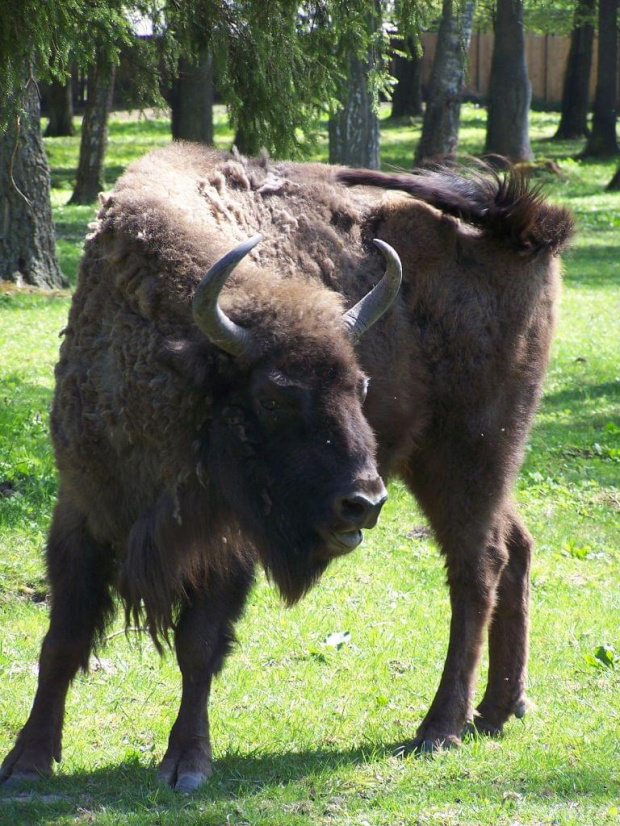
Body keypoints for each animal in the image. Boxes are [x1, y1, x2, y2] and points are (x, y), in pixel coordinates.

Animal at [0, 145, 572, 788]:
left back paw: (440, 728)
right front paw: (27, 763)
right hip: (465, 462)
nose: (364, 503)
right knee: (514, 546)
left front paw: (186, 763)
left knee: (477, 568)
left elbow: (199, 645)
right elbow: (63, 639)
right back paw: (500, 709)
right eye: (273, 397)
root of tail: (519, 227)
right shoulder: (82, 511)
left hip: (469, 452)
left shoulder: (226, 543)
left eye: (360, 385)